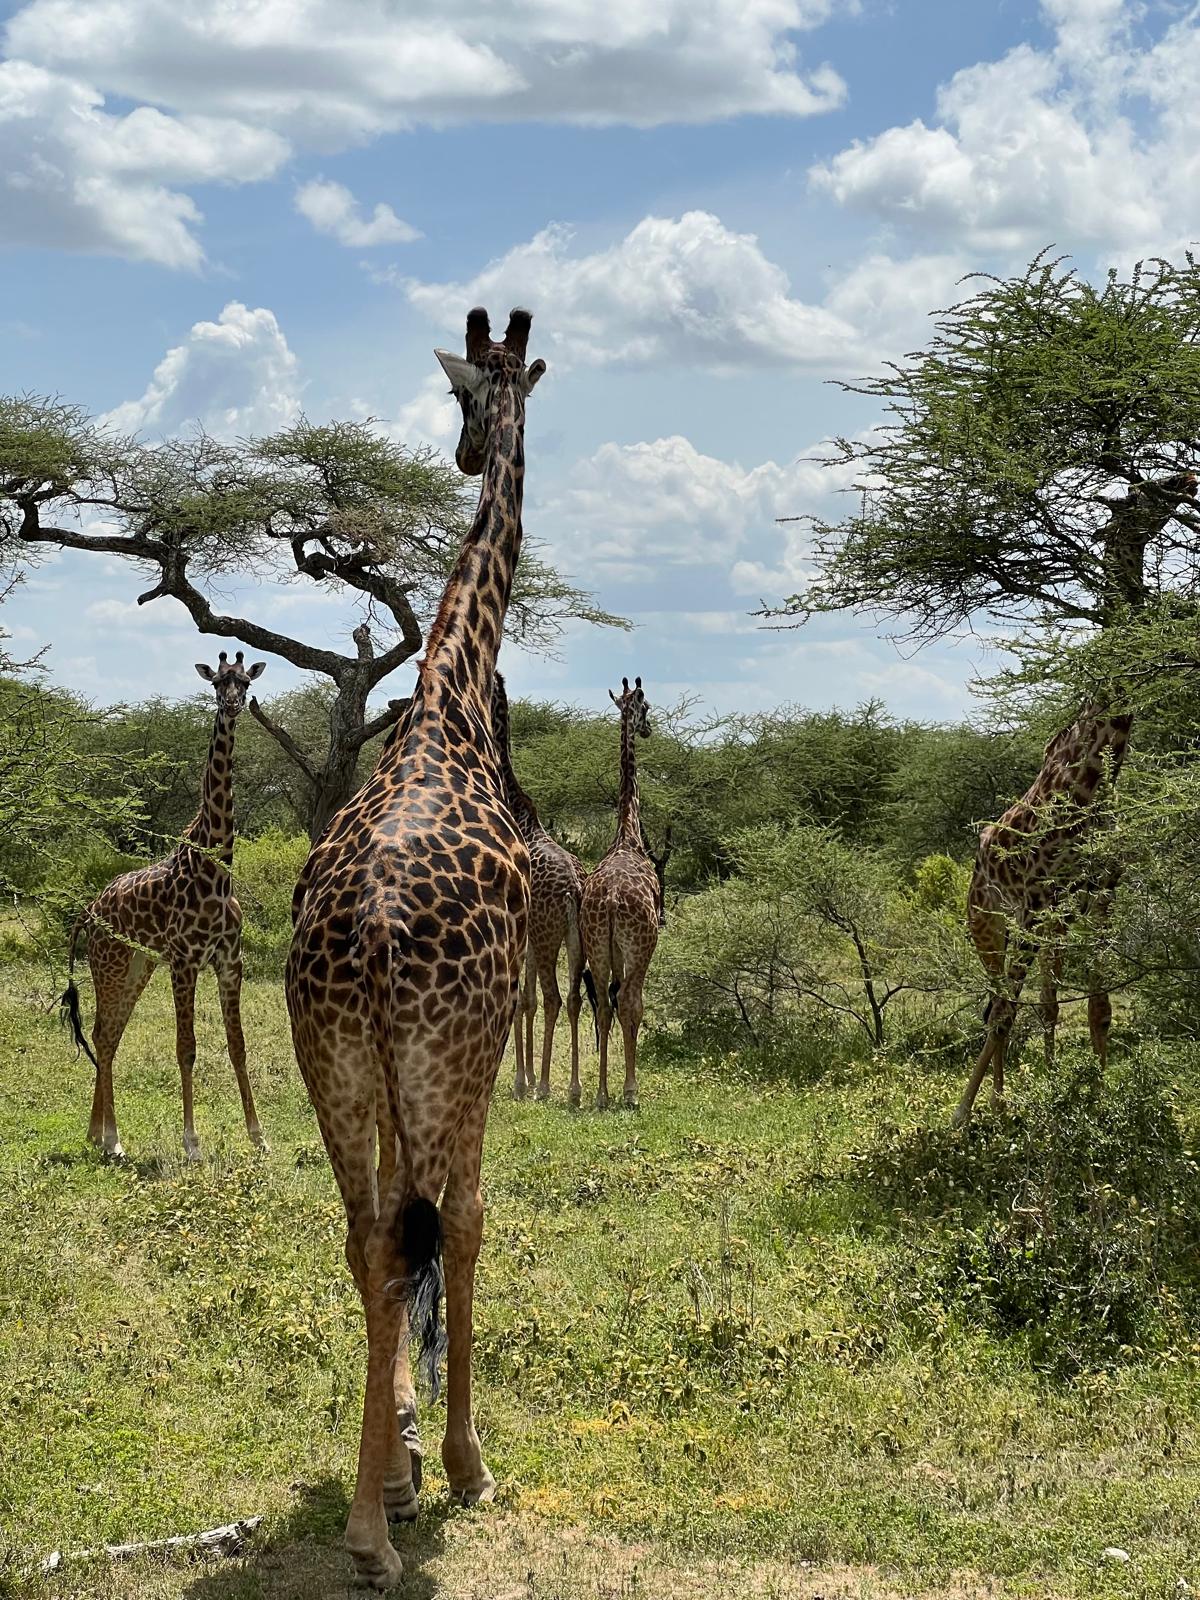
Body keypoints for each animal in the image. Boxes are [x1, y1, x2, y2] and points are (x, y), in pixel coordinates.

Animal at [60, 650, 267, 1160]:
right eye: (216, 683)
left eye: (245, 684)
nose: (231, 705)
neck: (217, 870)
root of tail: (88, 912)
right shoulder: (185, 960)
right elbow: (186, 1047)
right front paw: (192, 1142)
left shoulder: (229, 960)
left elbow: (237, 1045)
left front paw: (258, 1136)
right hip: (110, 964)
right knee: (102, 1033)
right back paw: (112, 1139)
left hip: (139, 965)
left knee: (110, 1033)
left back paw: (97, 1133)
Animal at [952, 702, 1132, 1128]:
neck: (1090, 784)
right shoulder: (1034, 902)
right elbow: (1004, 1014)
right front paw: (964, 1114)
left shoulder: (1102, 896)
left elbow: (1100, 1009)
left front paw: (1097, 1099)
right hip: (988, 924)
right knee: (999, 1007)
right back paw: (998, 1103)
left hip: (1054, 924)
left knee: (1042, 1003)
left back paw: (1040, 1081)